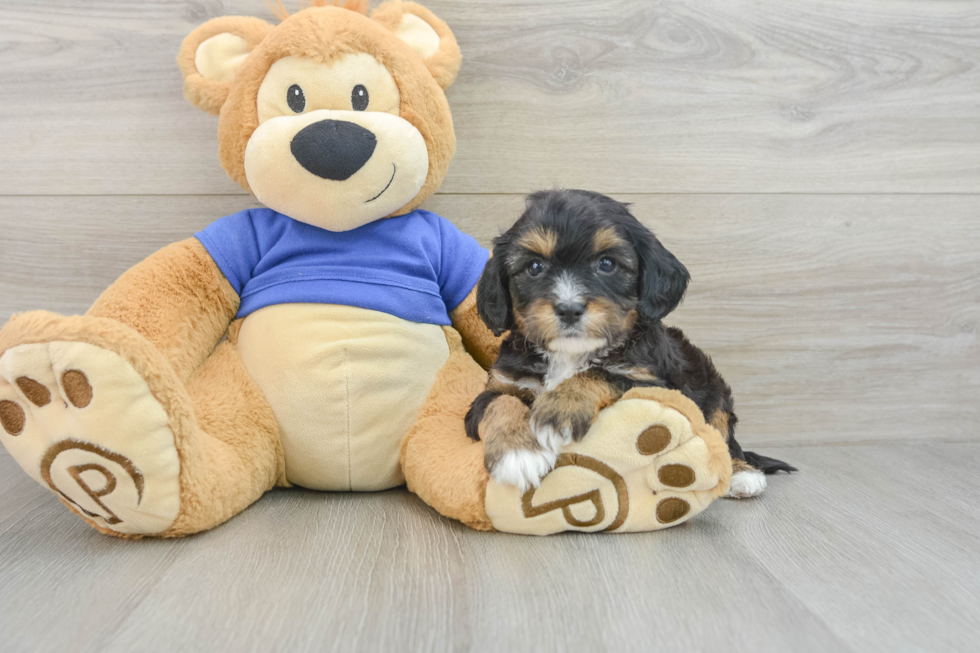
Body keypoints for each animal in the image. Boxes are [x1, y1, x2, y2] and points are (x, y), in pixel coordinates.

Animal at [468, 188, 796, 494]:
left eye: (607, 263)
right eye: (534, 267)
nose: (569, 309)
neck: (570, 355)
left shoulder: (654, 385)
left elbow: (599, 373)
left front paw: (558, 410)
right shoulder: (500, 384)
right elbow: (501, 401)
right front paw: (518, 454)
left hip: (714, 390)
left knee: (723, 434)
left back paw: (742, 474)